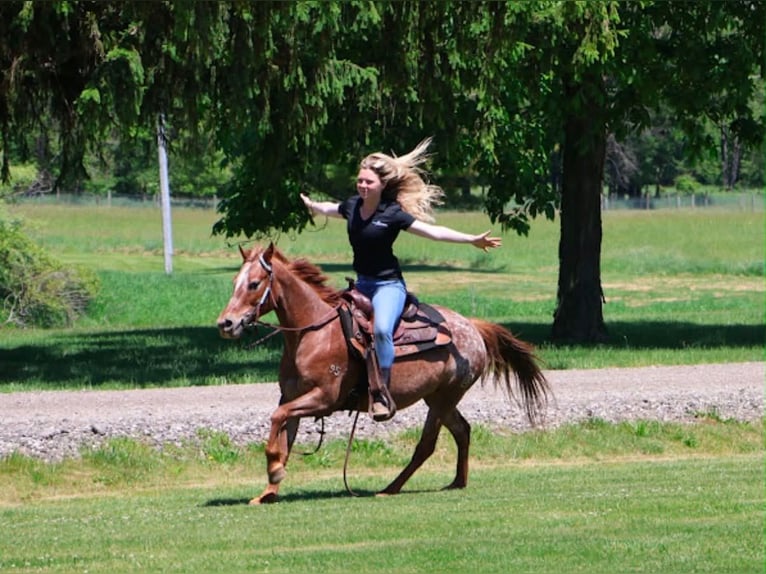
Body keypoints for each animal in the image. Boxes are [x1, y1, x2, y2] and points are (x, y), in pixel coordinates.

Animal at [216, 242, 550, 504]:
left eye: (254, 283)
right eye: (234, 281)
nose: (226, 323)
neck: (313, 333)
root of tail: (473, 326)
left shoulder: (323, 398)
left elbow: (276, 420)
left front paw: (274, 471)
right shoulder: (292, 397)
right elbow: (284, 437)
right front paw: (268, 491)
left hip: (445, 398)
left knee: (427, 445)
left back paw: (391, 488)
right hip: (437, 399)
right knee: (462, 431)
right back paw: (457, 482)